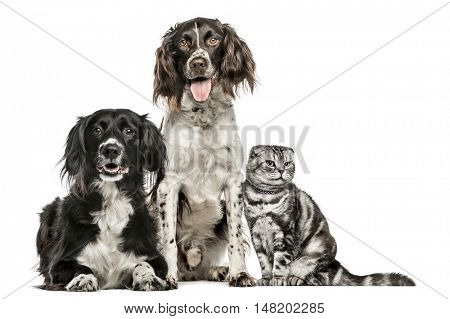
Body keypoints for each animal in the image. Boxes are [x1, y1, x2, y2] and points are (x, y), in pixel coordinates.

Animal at [36, 109, 169, 292]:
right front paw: (84, 279)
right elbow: (82, 266)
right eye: (97, 130)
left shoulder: (156, 257)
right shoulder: (59, 263)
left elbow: (143, 264)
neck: (111, 201)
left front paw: (148, 278)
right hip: (49, 211)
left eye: (129, 131)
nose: (110, 149)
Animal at [153, 16, 255, 290]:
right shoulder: (168, 185)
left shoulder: (233, 182)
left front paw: (239, 274)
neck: (202, 116)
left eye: (213, 40)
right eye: (183, 42)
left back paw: (218, 271)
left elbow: (236, 238)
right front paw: (167, 276)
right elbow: (167, 239)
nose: (198, 63)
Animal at [243, 146, 414, 286]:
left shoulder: (285, 232)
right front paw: (266, 279)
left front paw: (278, 279)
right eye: (270, 163)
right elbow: (264, 262)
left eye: (287, 164)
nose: (281, 170)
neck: (263, 200)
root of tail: (336, 264)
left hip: (318, 251)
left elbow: (280, 261)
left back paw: (296, 278)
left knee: (317, 276)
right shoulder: (255, 233)